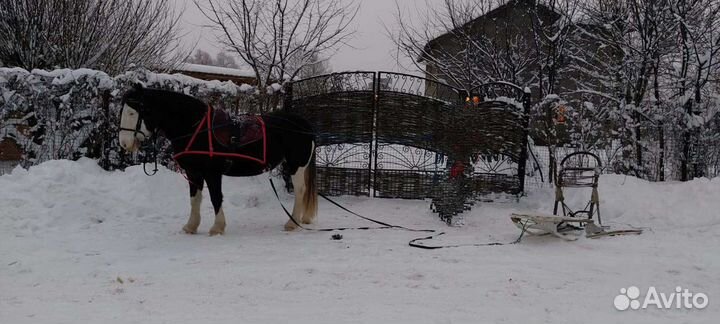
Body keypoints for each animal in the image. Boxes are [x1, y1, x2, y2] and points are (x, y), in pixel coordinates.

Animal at [119, 84, 318, 235]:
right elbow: (194, 199)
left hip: (296, 165)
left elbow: (216, 197)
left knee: (300, 190)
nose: (124, 143)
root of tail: (304, 124)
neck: (196, 128)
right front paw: (191, 226)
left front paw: (217, 227)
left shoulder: (212, 173)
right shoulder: (193, 172)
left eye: (132, 113)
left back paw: (292, 222)